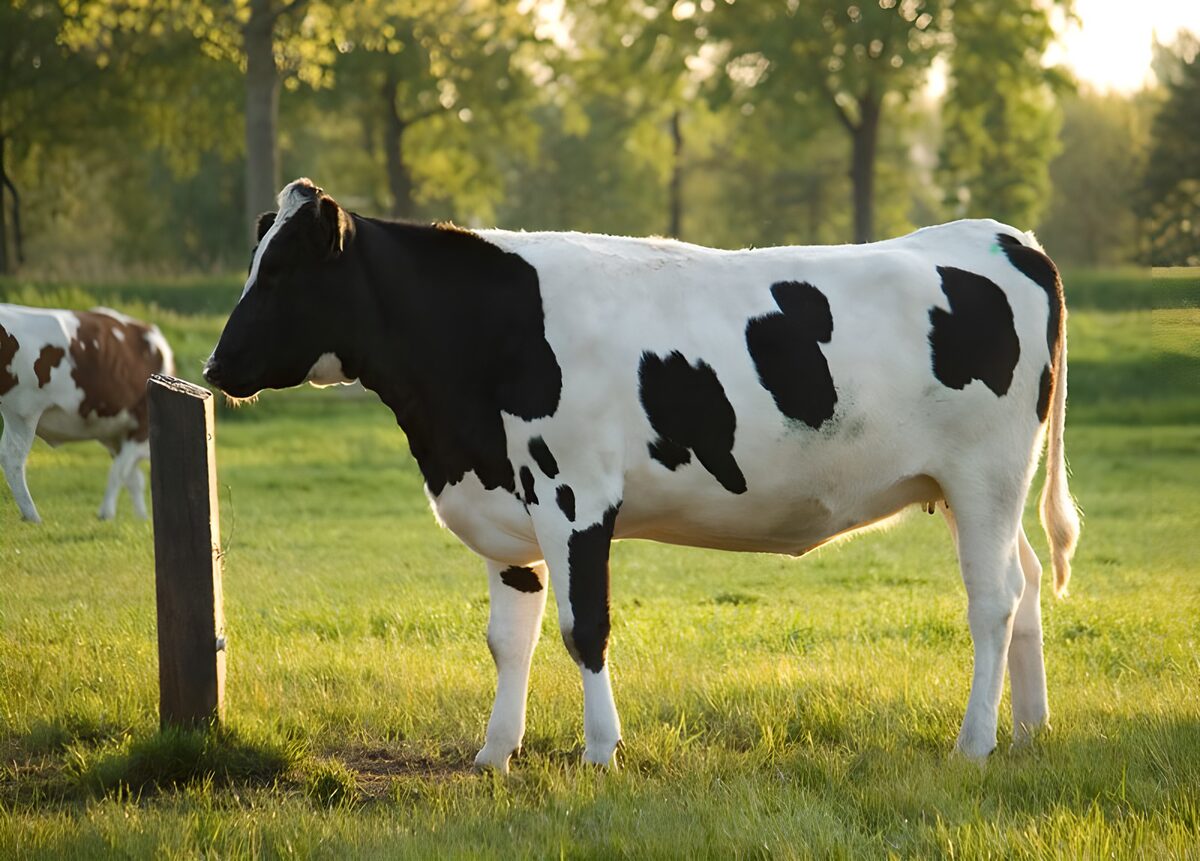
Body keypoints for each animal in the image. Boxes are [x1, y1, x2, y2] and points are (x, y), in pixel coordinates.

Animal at [0, 304, 174, 523]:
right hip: (23, 411)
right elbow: (119, 472)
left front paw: (141, 517)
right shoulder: (141, 426)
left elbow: (133, 479)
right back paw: (33, 516)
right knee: (12, 458)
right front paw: (107, 513)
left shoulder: (116, 436)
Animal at [204, 178, 1080, 771]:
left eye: (282, 272)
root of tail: (1005, 237)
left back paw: (975, 741)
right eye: (255, 261)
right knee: (1029, 580)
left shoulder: (574, 495)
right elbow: (509, 637)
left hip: (986, 472)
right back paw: (1030, 728)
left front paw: (600, 751)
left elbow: (583, 627)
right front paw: (495, 753)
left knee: (993, 600)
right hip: (975, 490)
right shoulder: (506, 511)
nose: (215, 365)